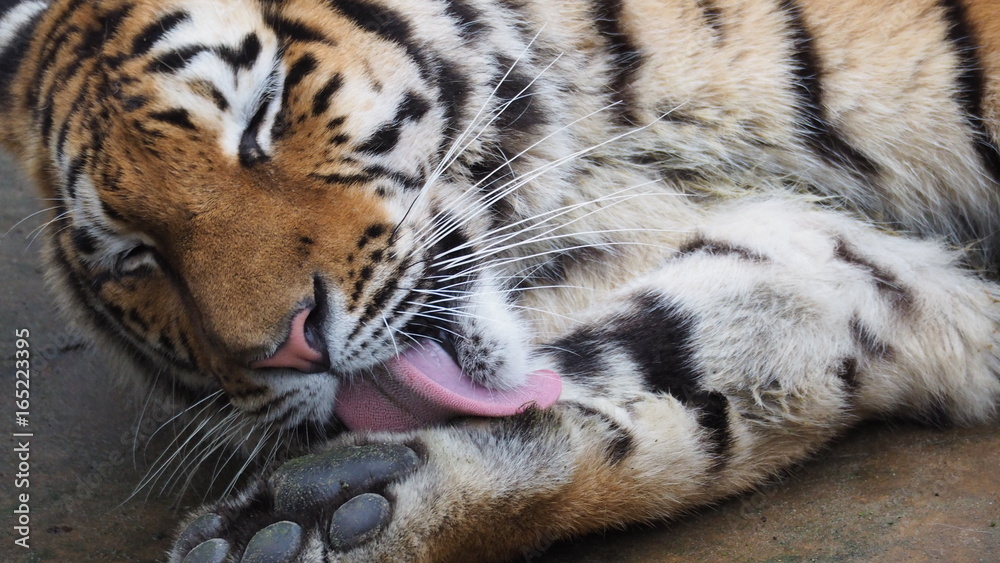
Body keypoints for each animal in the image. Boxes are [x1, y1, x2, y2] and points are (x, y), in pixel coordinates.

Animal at [2, 0, 999, 560]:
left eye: (262, 115)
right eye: (135, 254)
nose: (290, 342)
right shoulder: (833, 270)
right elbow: (674, 373)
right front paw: (327, 513)